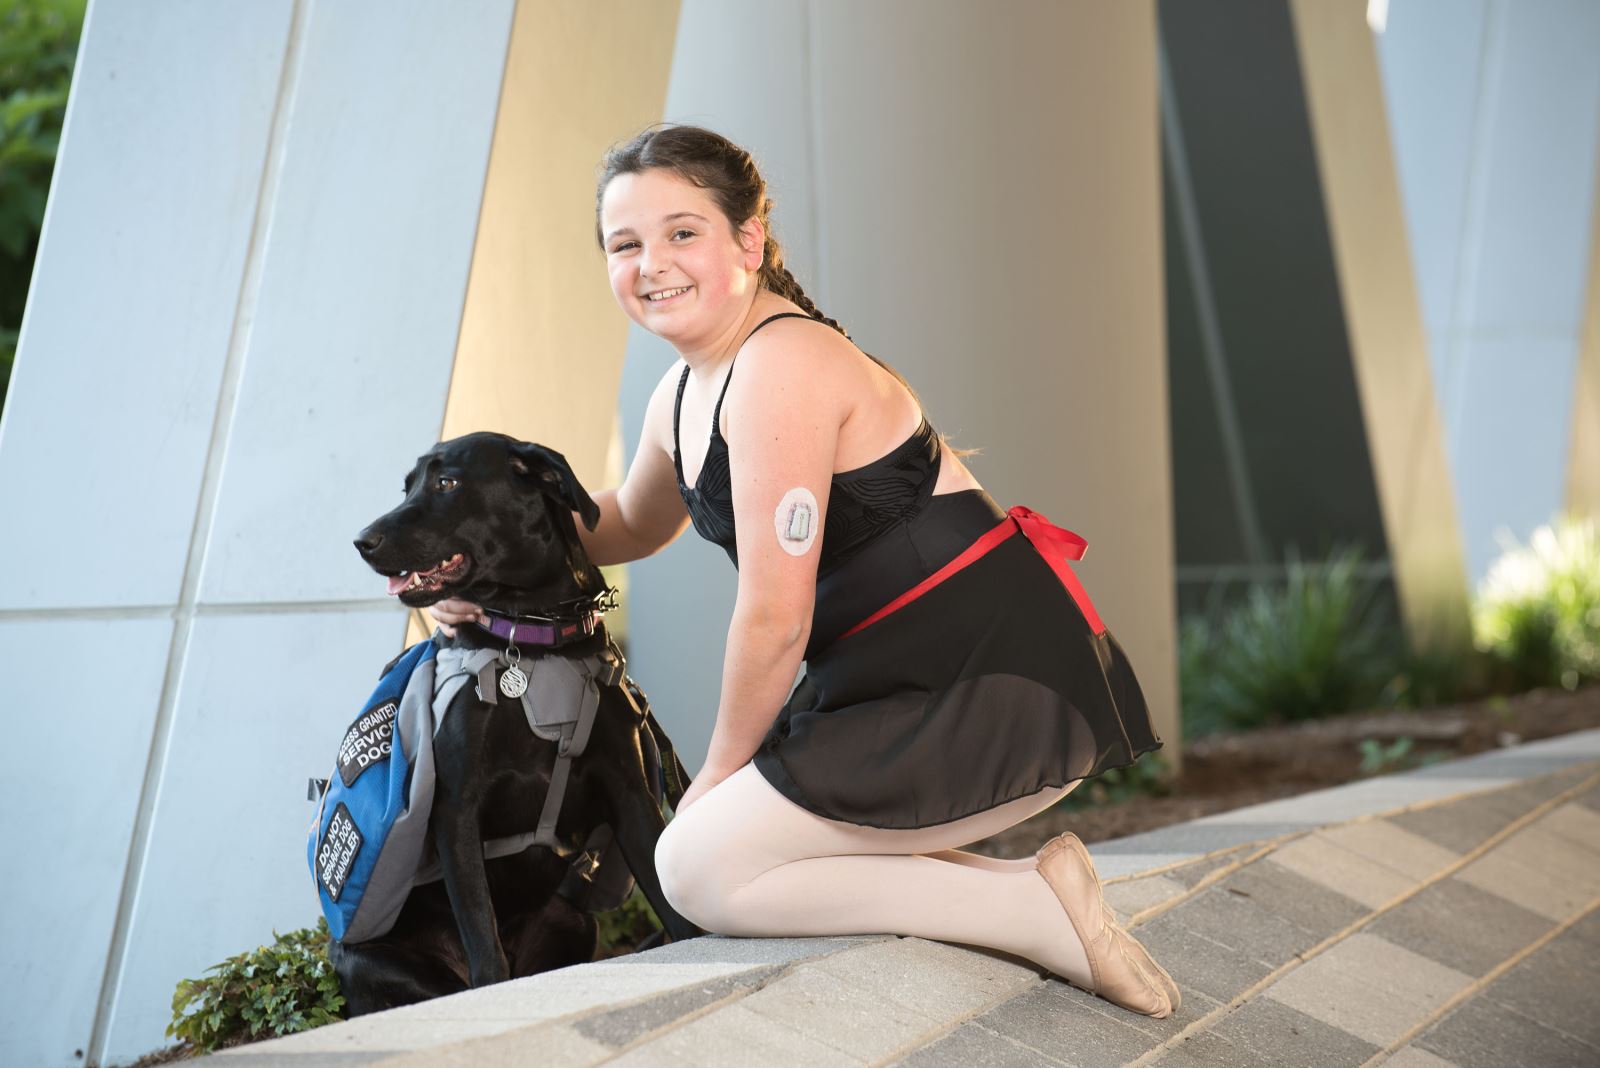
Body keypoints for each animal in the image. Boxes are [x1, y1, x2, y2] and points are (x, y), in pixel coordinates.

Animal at [337, 428, 700, 1016]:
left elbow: (674, 907)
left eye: (446, 482)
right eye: (407, 486)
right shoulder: (457, 809)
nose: (361, 540)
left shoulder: (631, 793)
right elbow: (486, 955)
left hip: (574, 921)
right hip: (371, 959)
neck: (534, 637)